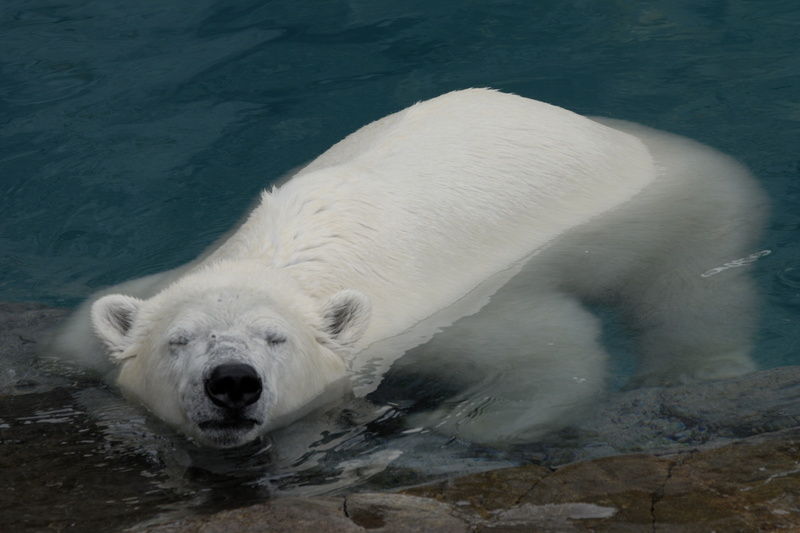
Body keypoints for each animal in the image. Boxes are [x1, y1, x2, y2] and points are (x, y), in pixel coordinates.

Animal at [47, 89, 764, 446]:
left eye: (276, 339)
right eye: (179, 340)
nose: (231, 382)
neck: (284, 254)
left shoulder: (435, 317)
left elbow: (551, 349)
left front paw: (454, 421)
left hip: (677, 205)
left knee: (691, 290)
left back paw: (694, 371)